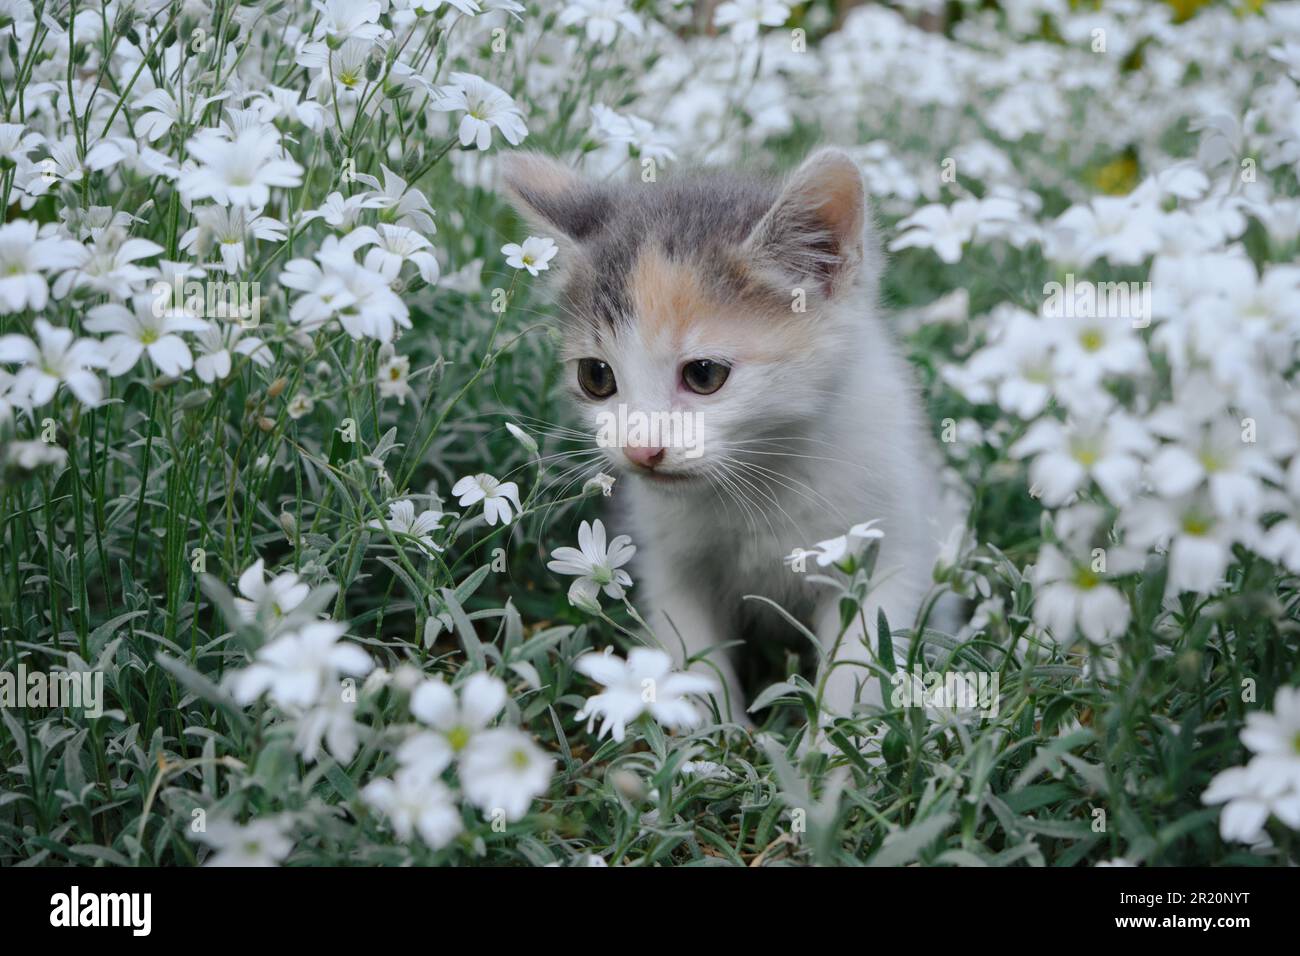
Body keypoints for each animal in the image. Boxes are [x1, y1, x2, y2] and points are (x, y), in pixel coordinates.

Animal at [501, 147, 961, 717]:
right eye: (596, 376)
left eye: (703, 375)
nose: (640, 449)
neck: (764, 476)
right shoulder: (667, 560)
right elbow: (690, 651)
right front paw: (707, 733)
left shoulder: (887, 541)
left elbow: (860, 661)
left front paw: (841, 739)